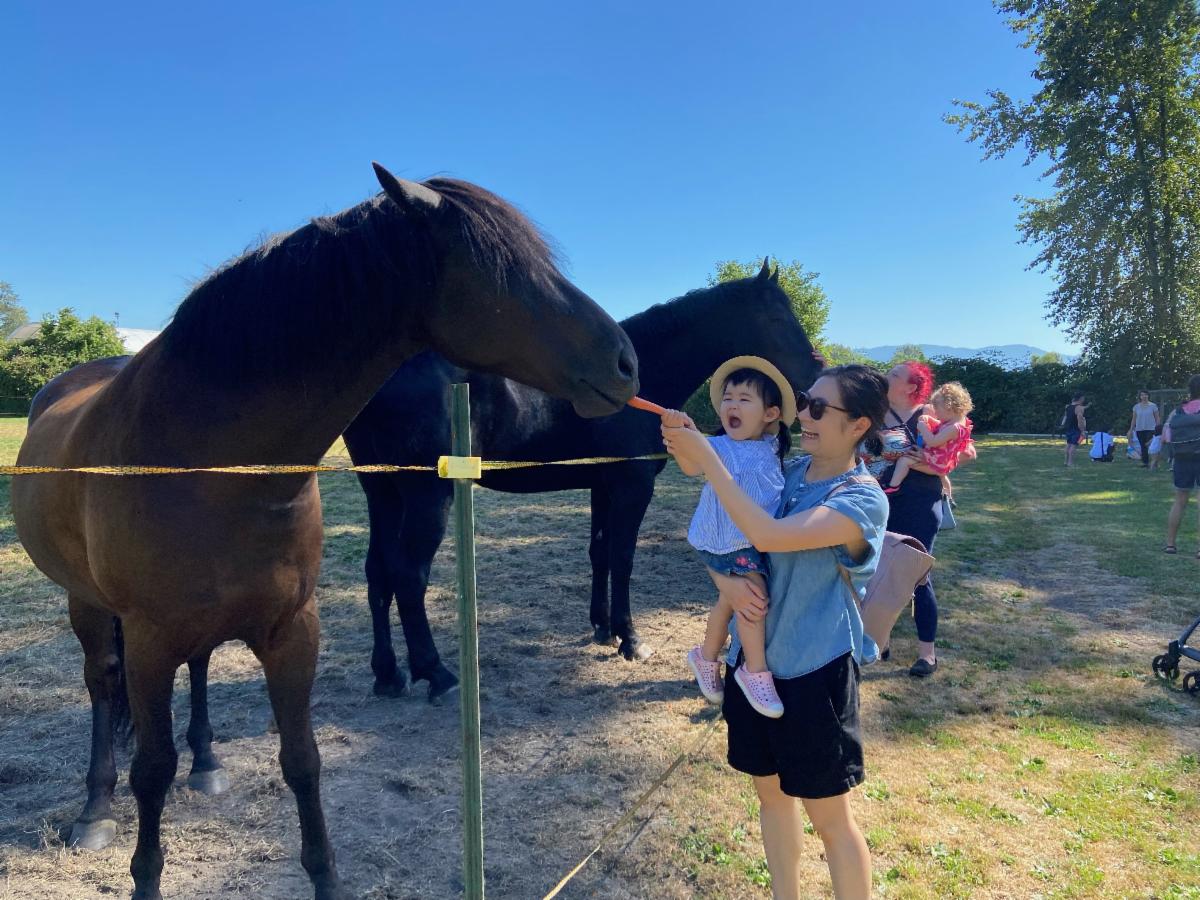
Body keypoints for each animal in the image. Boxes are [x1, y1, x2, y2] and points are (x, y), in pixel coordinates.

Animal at [10, 163, 638, 900]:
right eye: (505, 268)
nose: (627, 362)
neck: (208, 461)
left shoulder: (292, 631)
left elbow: (302, 760)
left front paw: (325, 877)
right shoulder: (149, 642)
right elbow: (152, 770)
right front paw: (143, 875)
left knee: (199, 671)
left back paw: (209, 763)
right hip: (90, 608)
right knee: (102, 687)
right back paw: (94, 809)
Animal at [342, 260, 821, 702]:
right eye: (777, 317)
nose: (813, 381)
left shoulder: (603, 487)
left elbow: (600, 554)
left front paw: (603, 628)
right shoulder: (631, 487)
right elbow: (623, 557)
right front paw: (631, 640)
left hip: (382, 493)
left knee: (378, 571)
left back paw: (388, 675)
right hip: (428, 496)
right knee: (409, 575)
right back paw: (437, 674)